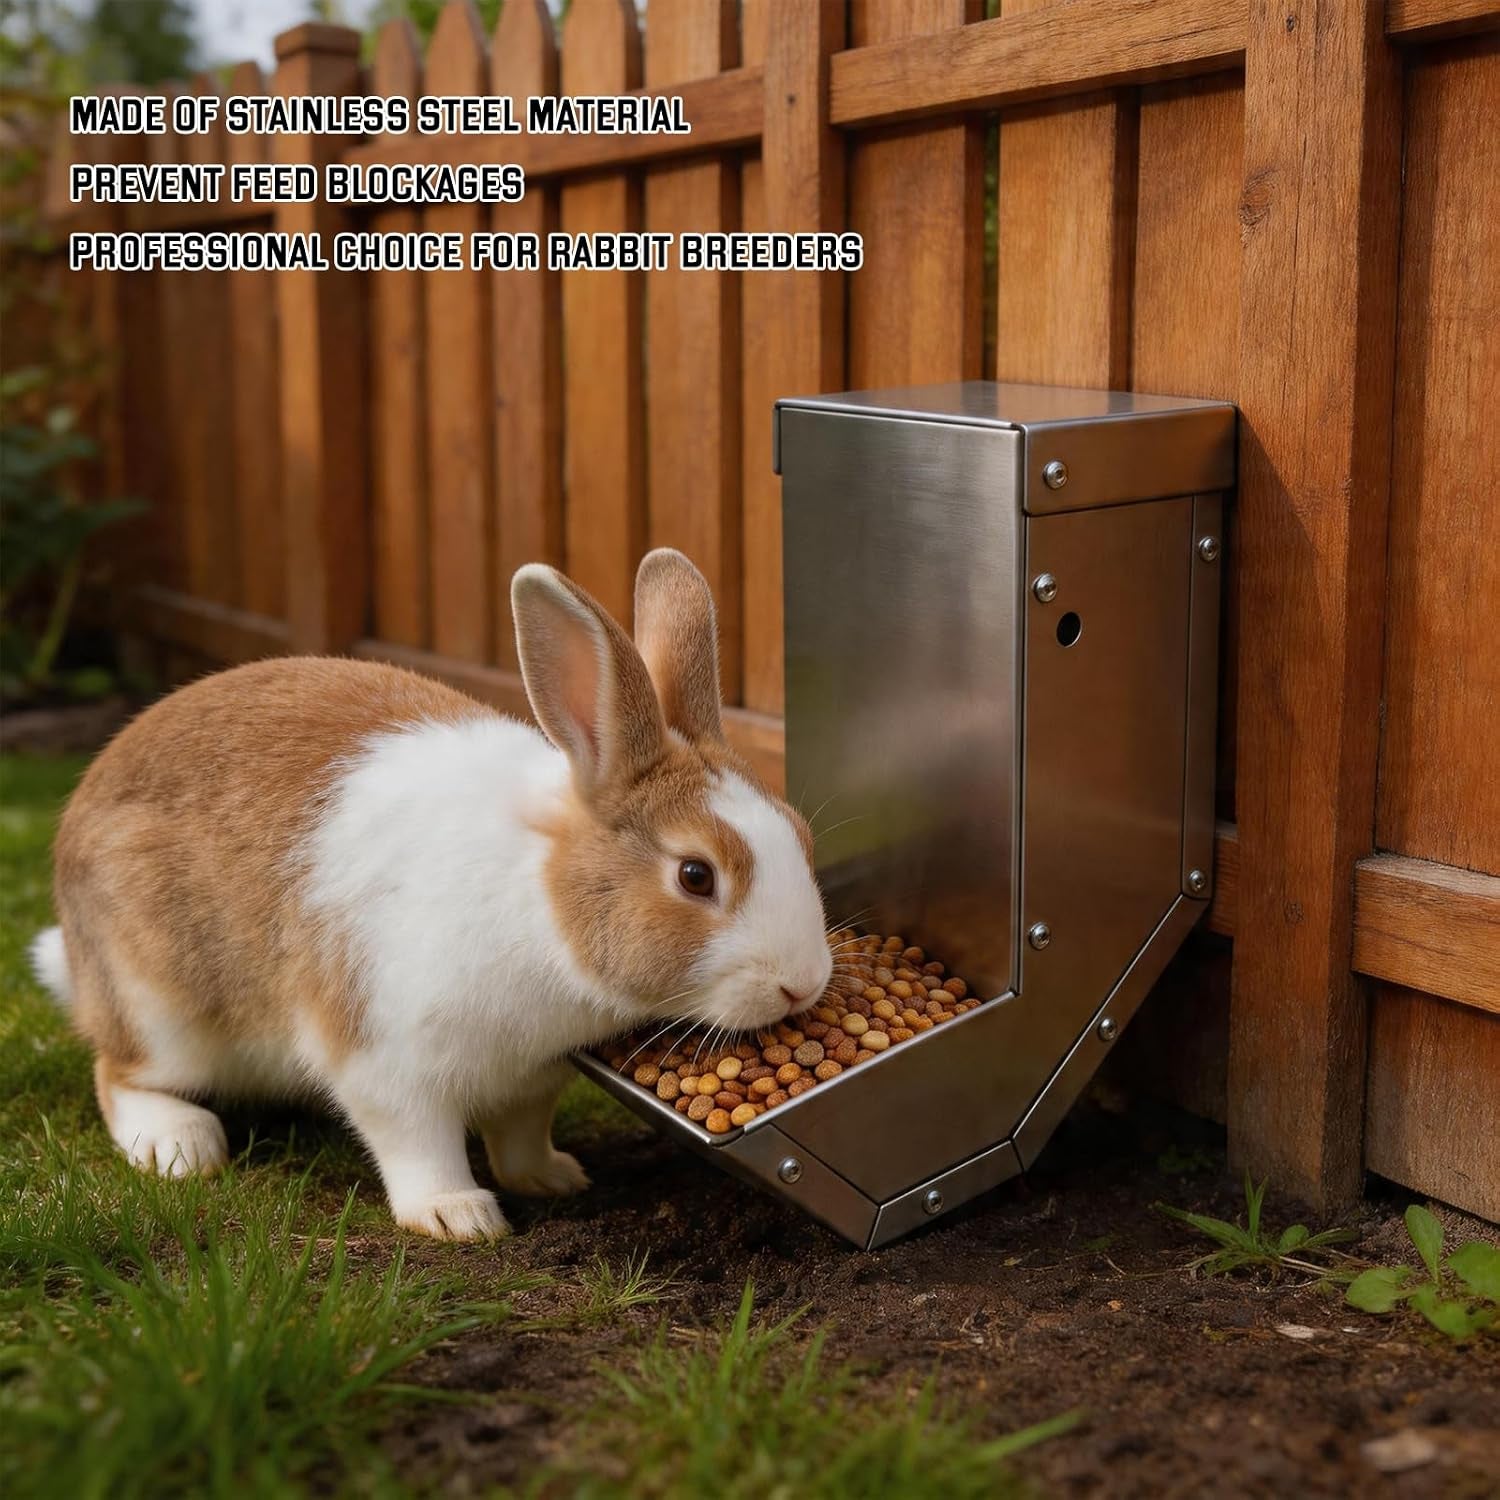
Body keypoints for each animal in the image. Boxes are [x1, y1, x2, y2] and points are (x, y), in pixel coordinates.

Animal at [30, 549, 833, 1240]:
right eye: (696, 876)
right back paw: (180, 1146)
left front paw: (553, 1178)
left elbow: (520, 1132)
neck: (543, 905)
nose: (803, 985)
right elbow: (417, 1143)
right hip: (162, 1009)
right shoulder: (386, 1060)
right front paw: (458, 1217)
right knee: (118, 1073)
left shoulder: (533, 1077)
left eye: (799, 834)